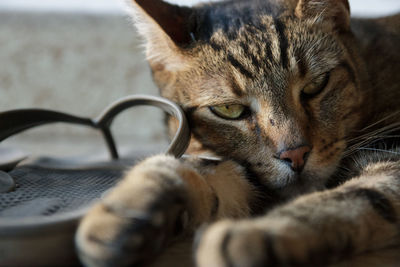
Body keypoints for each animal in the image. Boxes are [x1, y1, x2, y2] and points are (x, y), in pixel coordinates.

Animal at [74, 0, 400, 267]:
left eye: (315, 85)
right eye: (229, 109)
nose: (295, 154)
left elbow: (358, 194)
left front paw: (258, 233)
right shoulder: (252, 172)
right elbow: (195, 169)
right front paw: (128, 205)